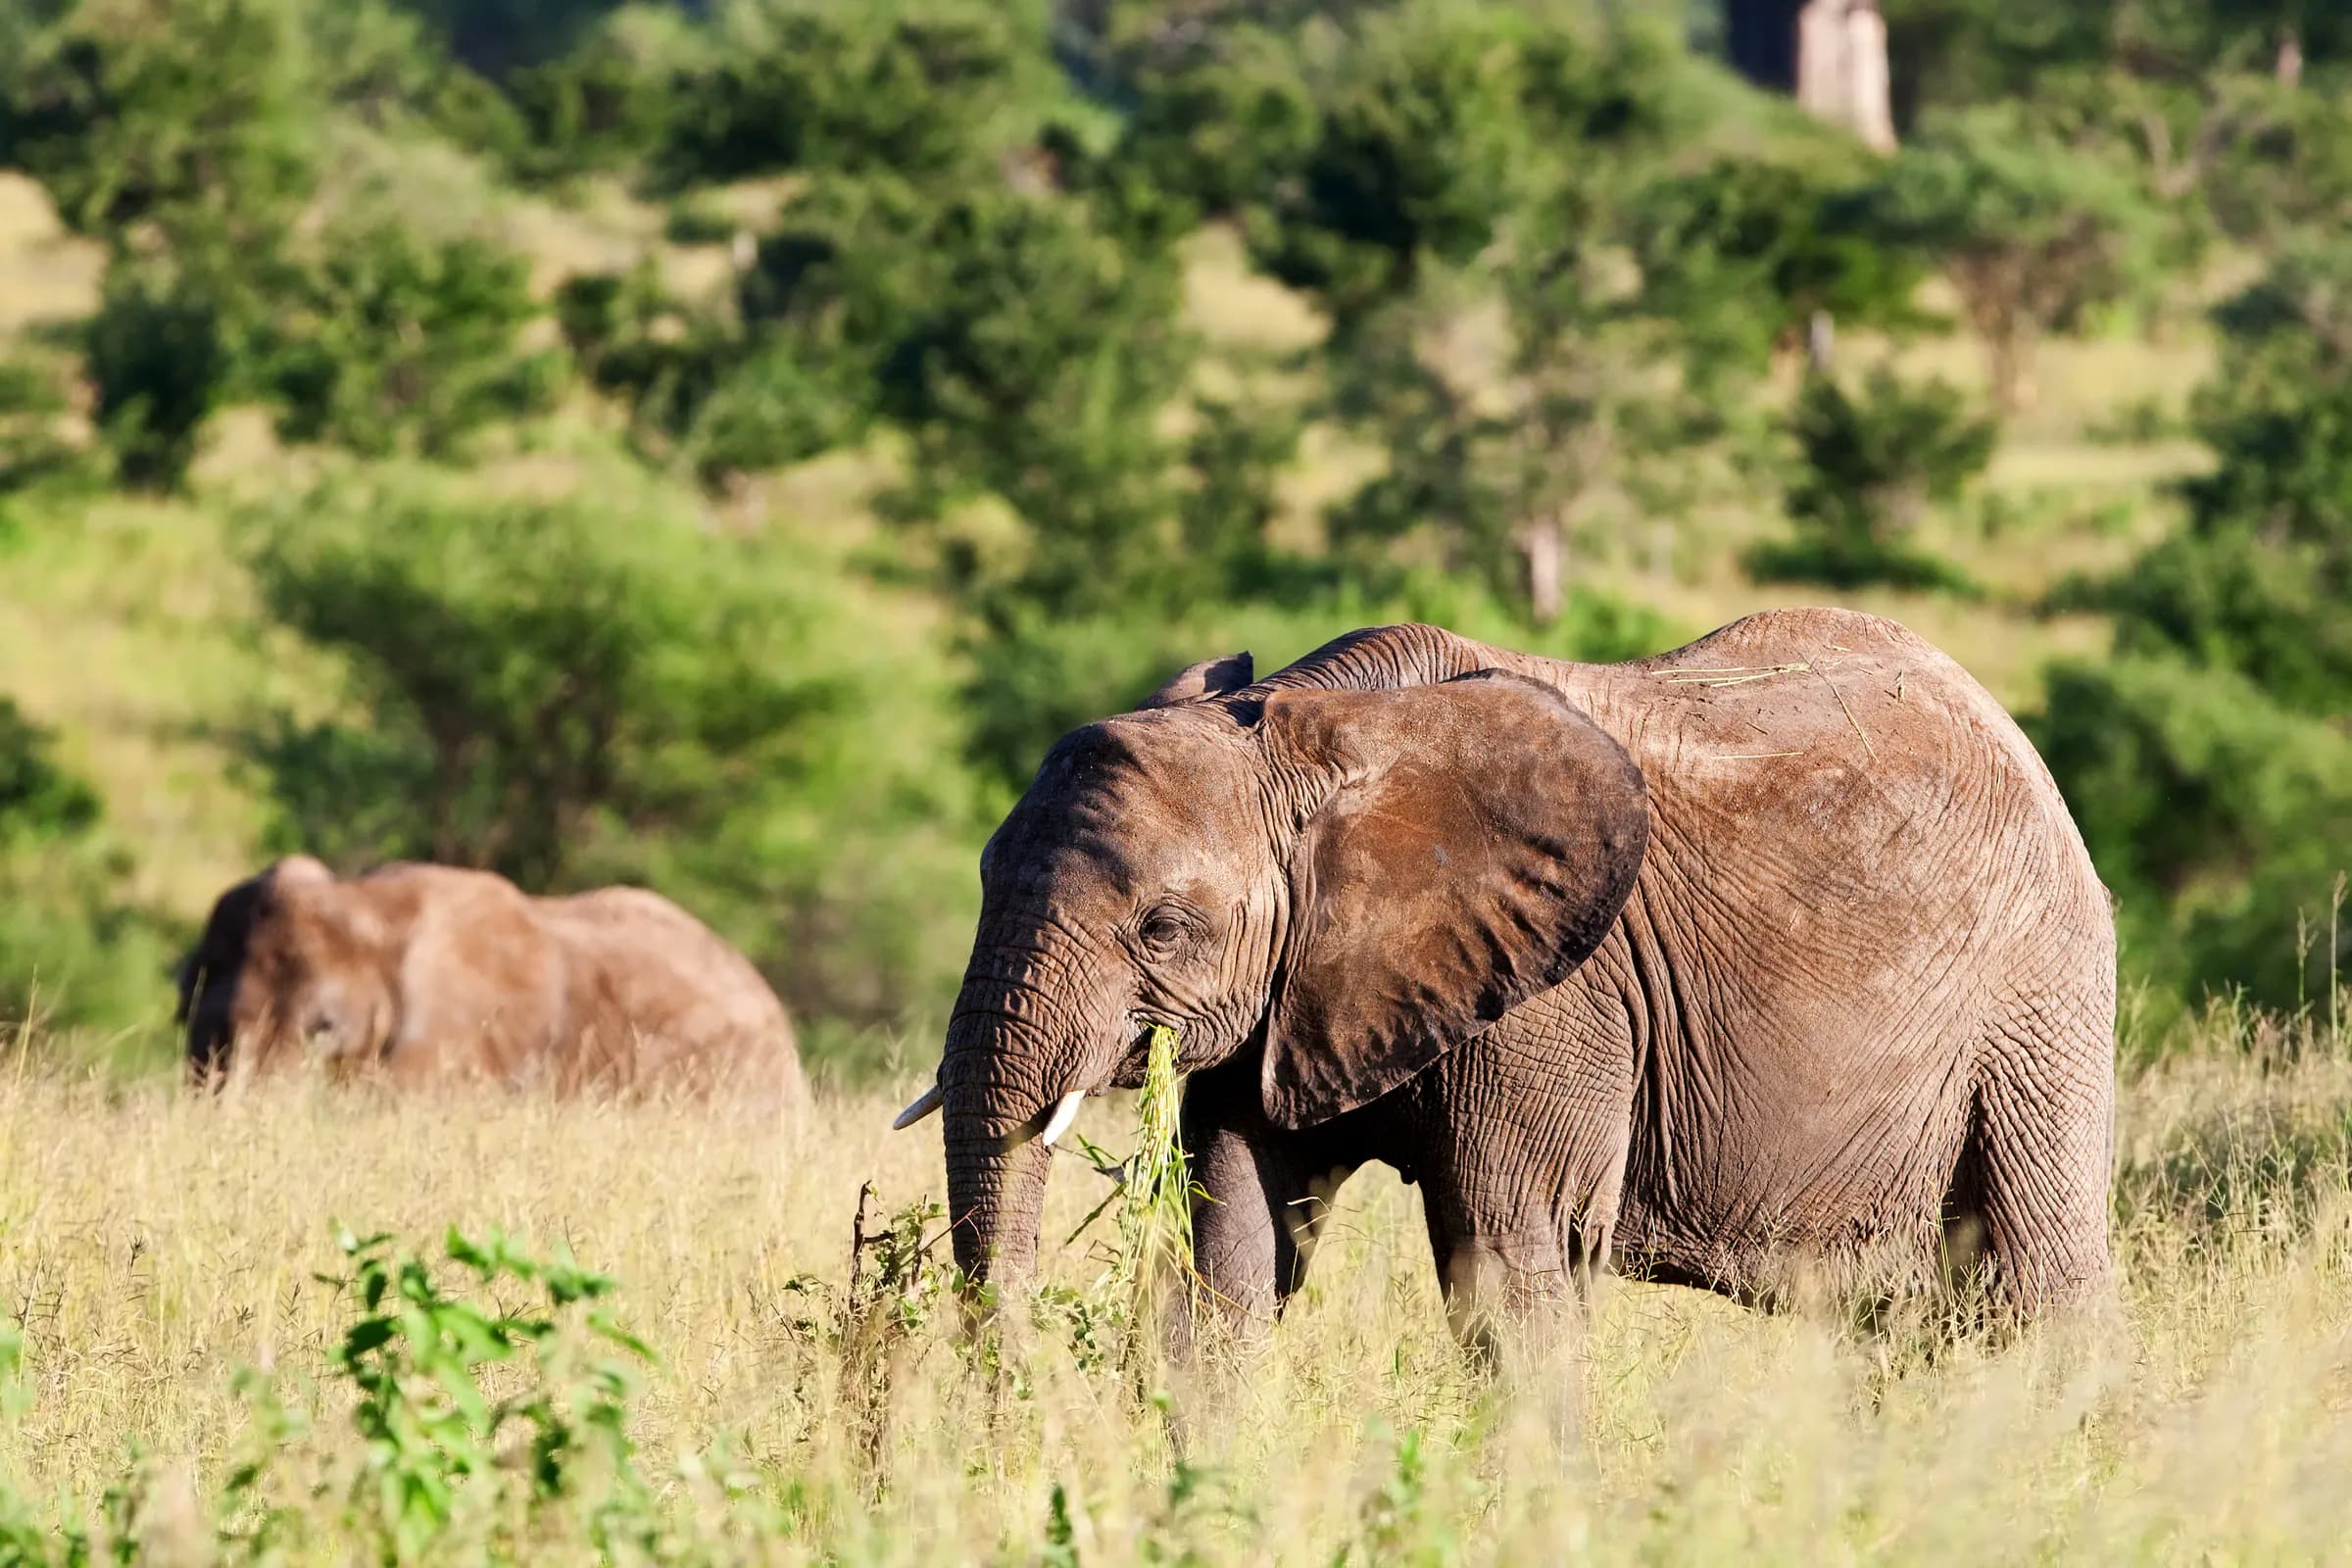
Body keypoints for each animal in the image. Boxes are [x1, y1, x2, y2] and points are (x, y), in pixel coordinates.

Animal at [893, 609, 2115, 1338]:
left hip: (2036, 997)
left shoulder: (1557, 996)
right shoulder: (1289, 993)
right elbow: (1233, 1247)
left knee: (2044, 1282)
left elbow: (1508, 1259)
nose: (1013, 1389)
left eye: (1162, 927)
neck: (1319, 734)